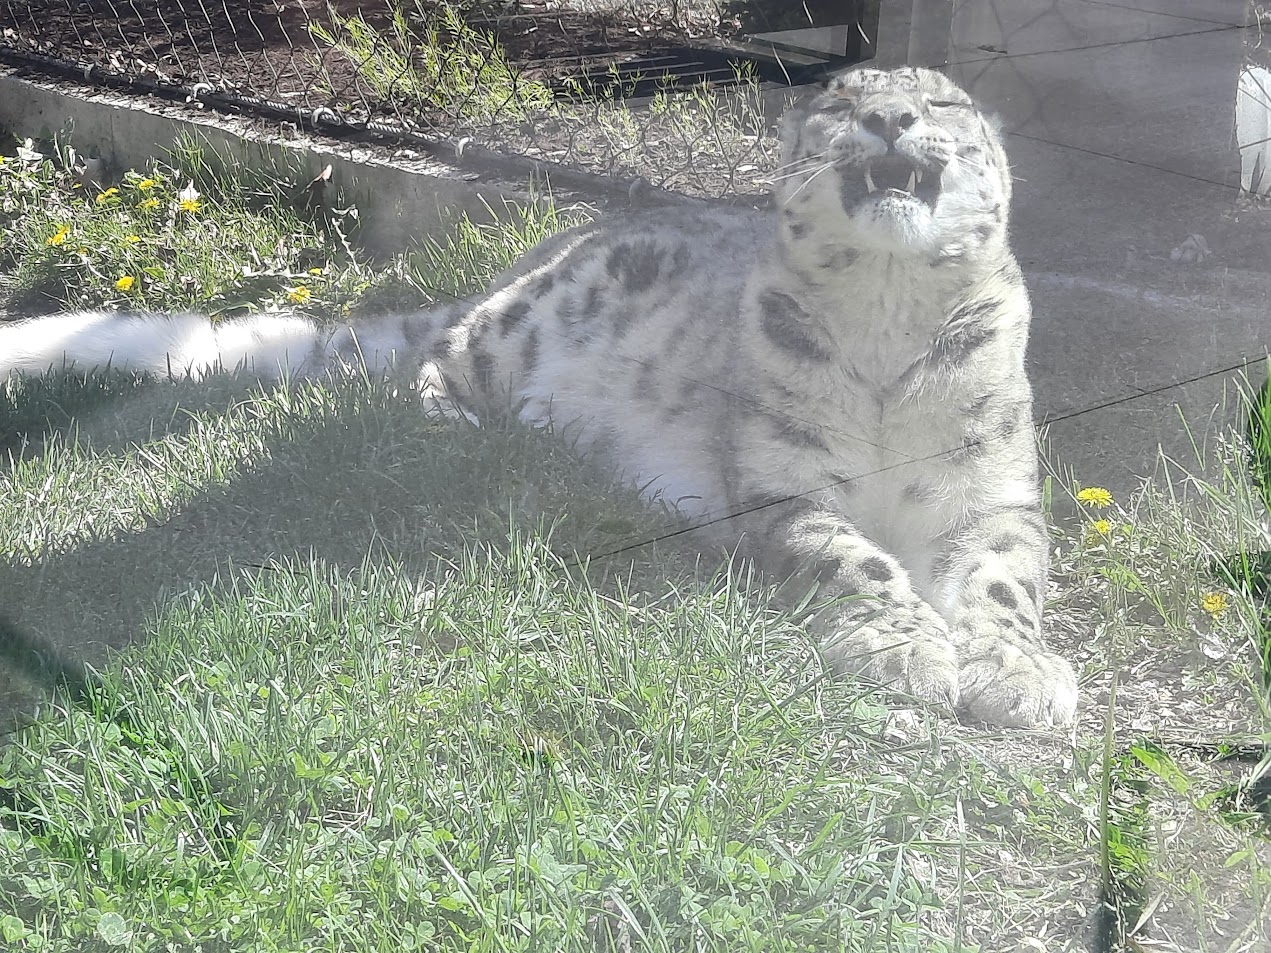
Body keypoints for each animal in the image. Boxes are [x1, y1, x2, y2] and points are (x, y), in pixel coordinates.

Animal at [0, 66, 1079, 729]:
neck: (886, 318)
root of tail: (514, 268)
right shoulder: (784, 477)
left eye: (941, 102)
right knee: (434, 358)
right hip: (514, 327)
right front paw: (907, 647)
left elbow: (1003, 580)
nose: (889, 120)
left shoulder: (990, 493)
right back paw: (469, 421)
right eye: (839, 98)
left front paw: (1017, 672)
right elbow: (852, 557)